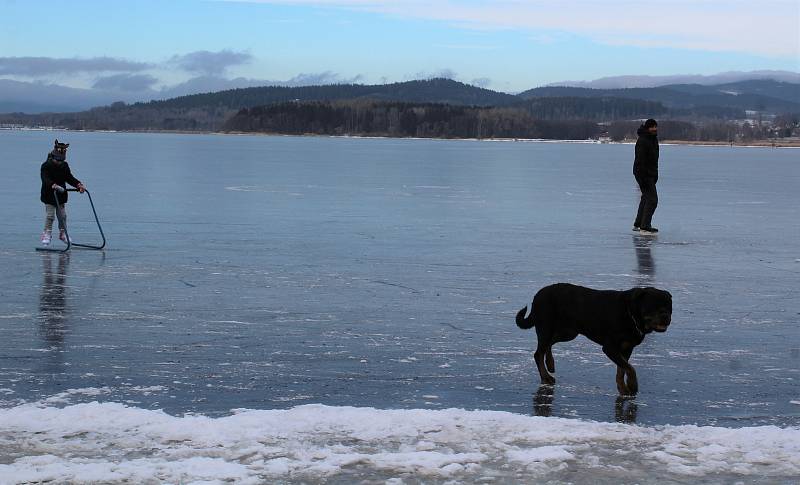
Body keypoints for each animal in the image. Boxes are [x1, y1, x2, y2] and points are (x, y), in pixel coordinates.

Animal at [516, 284, 672, 394]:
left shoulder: (627, 348)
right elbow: (630, 368)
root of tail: (537, 295)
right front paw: (633, 386)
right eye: (653, 306)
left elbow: (622, 369)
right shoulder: (610, 347)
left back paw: (550, 363)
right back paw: (545, 377)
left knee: (548, 345)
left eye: (669, 307)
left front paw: (622, 388)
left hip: (568, 332)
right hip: (547, 327)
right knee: (538, 353)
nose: (666, 316)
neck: (630, 314)